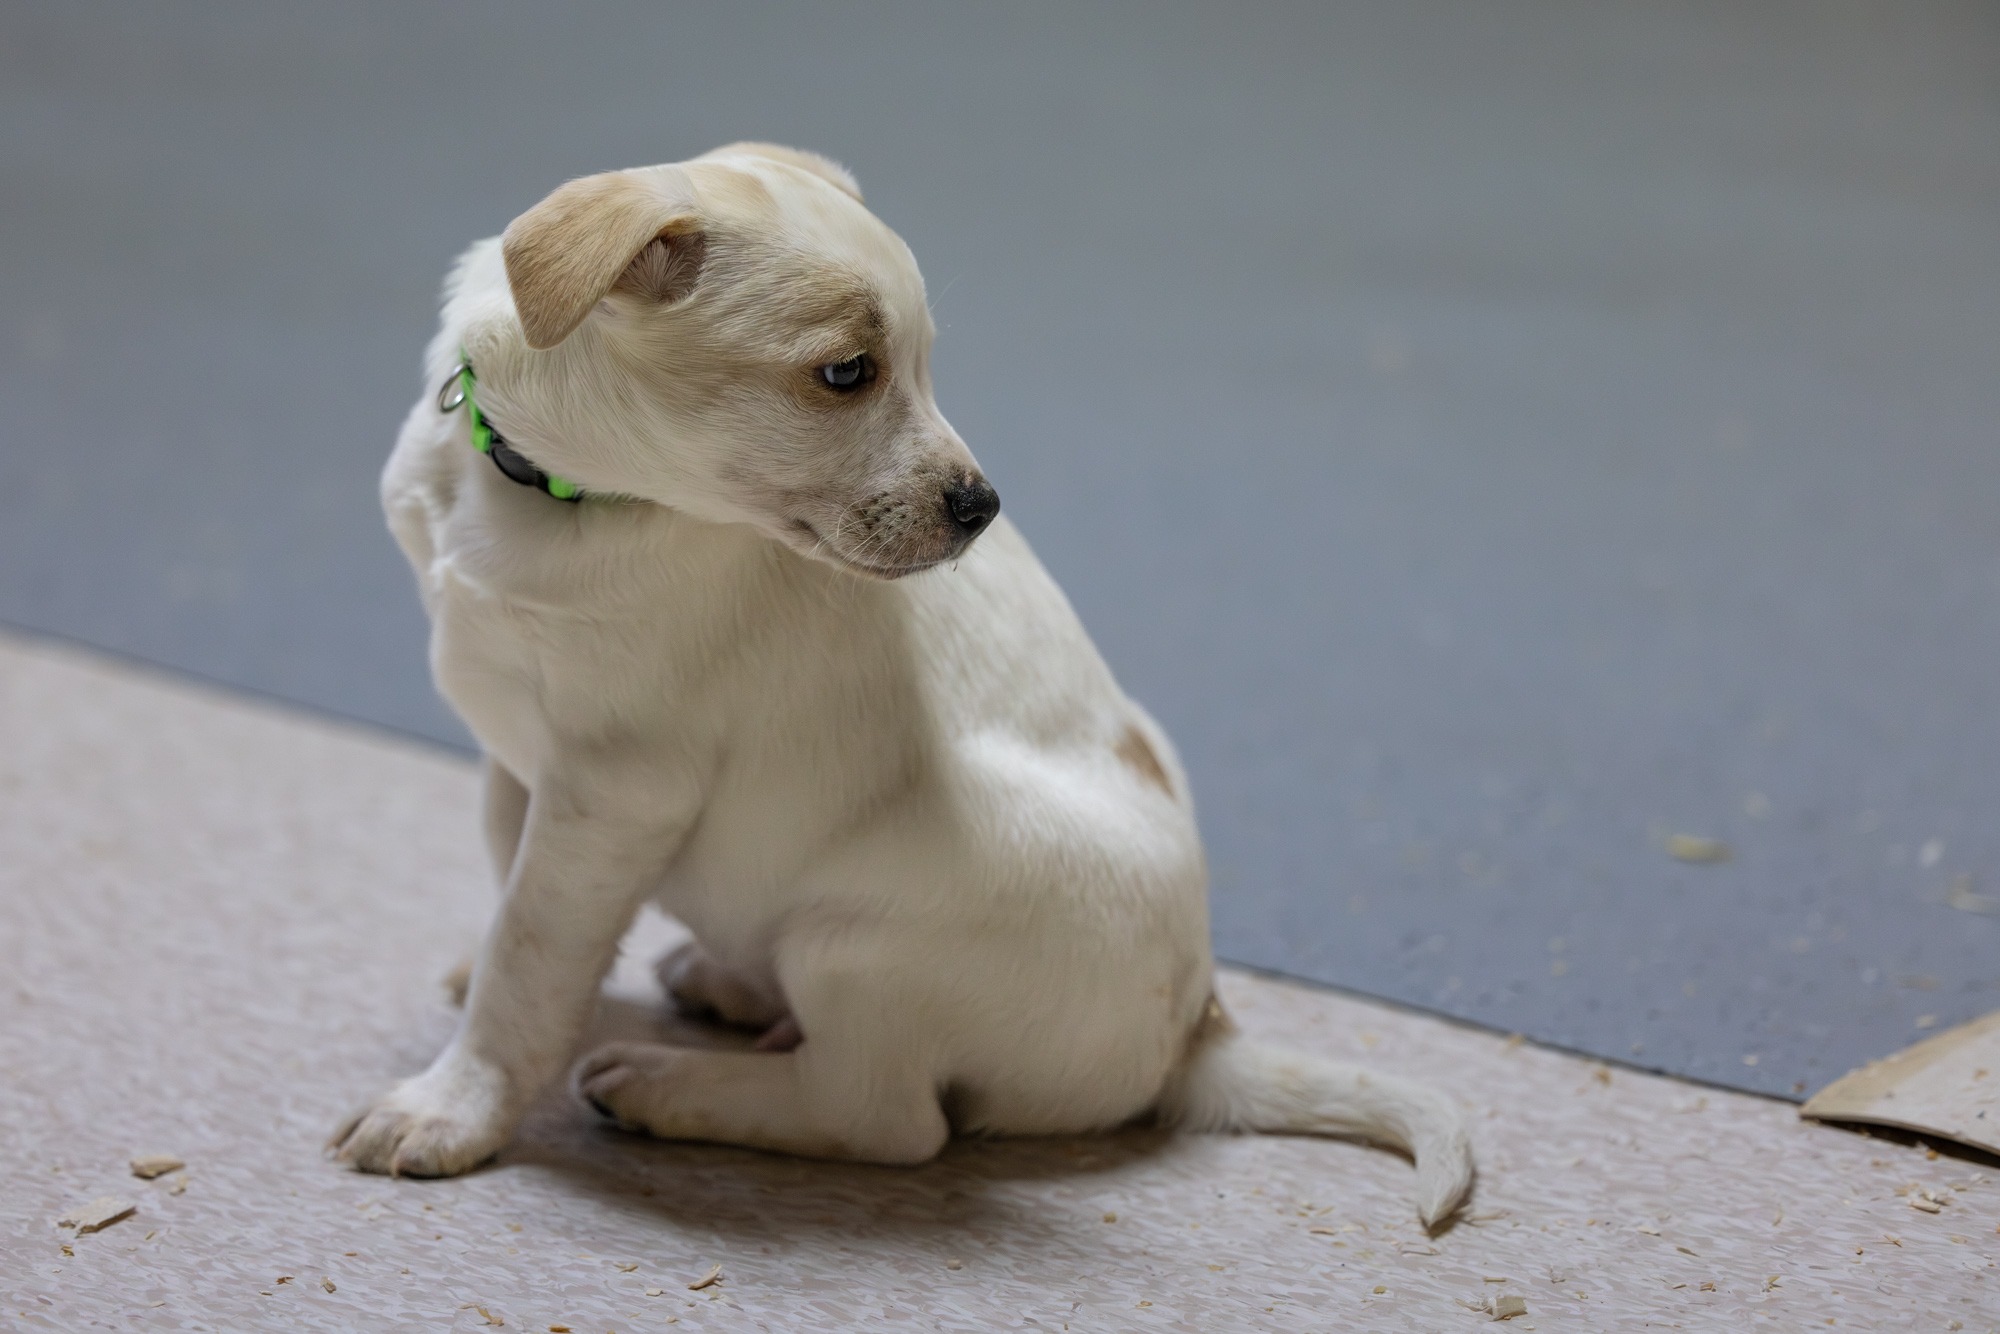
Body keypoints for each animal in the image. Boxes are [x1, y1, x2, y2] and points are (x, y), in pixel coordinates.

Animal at [333, 142, 1474, 1228]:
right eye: (847, 372)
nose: (982, 506)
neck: (555, 492)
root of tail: (1197, 1030)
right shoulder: (518, 757)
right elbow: (512, 895)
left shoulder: (616, 788)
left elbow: (529, 960)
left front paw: (449, 1106)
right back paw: (723, 987)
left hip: (855, 943)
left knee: (883, 1116)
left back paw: (667, 1084)